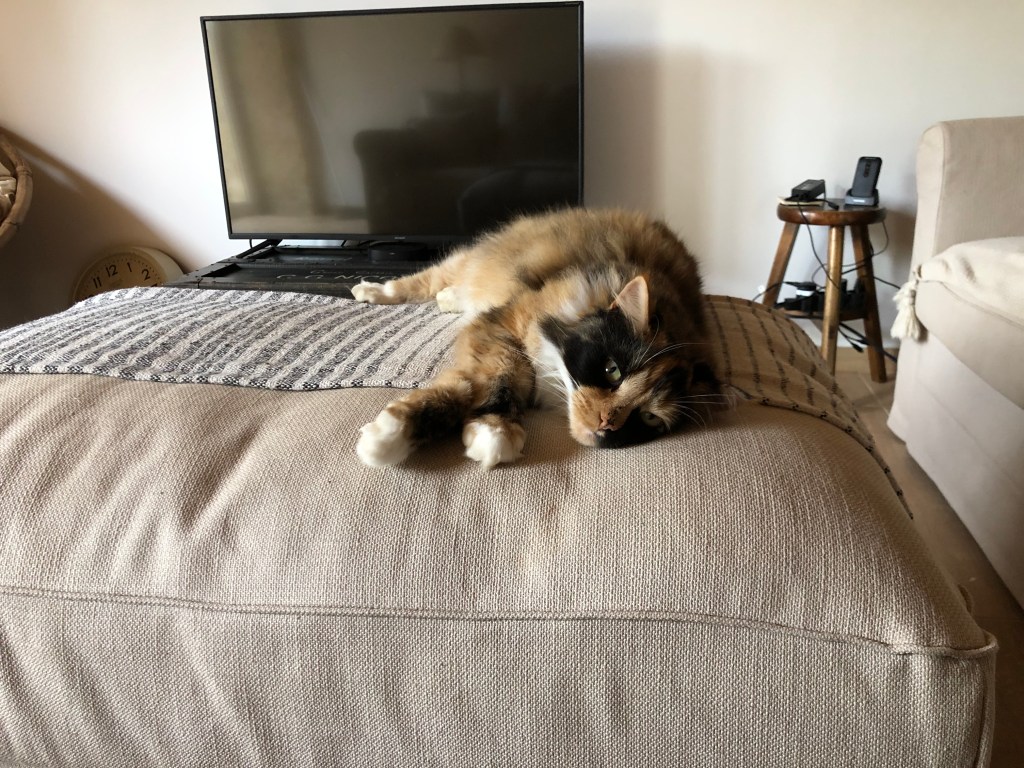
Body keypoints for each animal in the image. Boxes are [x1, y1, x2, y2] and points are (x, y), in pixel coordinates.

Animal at [350, 207, 721, 468]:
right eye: (612, 370)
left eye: (650, 418)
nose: (606, 426)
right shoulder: (503, 326)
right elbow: (496, 379)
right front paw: (493, 430)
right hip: (469, 262)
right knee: (423, 280)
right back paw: (369, 290)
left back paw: (448, 299)